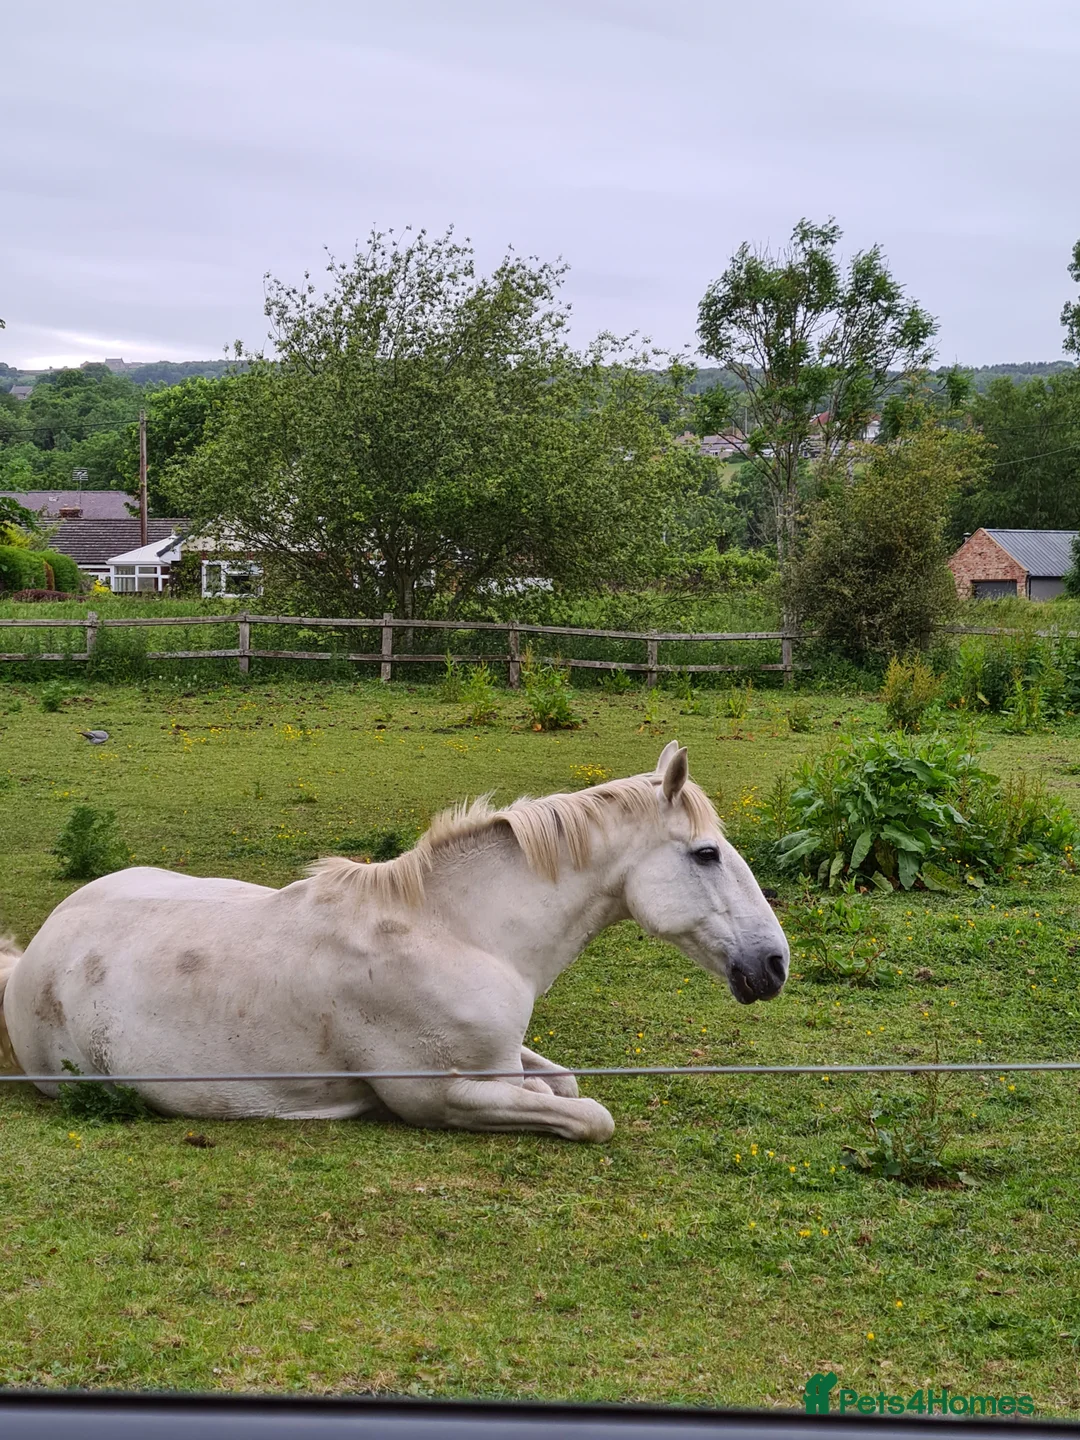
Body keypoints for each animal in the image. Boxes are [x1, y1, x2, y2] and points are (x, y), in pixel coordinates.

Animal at [0, 742, 787, 1141]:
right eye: (707, 854)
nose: (775, 964)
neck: (458, 932)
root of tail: (36, 950)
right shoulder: (438, 1096)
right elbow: (591, 1115)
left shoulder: (504, 1055)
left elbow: (561, 1082)